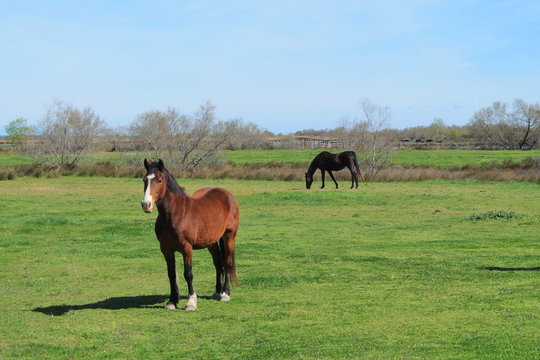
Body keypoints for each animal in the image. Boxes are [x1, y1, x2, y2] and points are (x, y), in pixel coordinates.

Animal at [140, 159, 239, 310]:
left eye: (159, 180)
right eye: (144, 180)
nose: (146, 204)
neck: (176, 214)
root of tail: (227, 195)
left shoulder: (187, 248)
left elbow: (188, 274)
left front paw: (191, 302)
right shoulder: (166, 249)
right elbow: (171, 274)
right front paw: (172, 301)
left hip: (229, 237)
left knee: (227, 262)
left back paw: (225, 293)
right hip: (211, 242)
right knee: (218, 263)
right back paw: (217, 292)